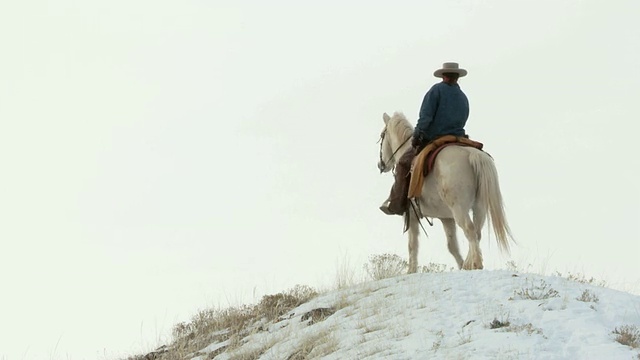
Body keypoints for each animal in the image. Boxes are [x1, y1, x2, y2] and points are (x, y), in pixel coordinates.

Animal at [378, 111, 512, 272]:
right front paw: (462, 265)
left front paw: (411, 271)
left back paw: (476, 264)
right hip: (480, 207)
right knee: (477, 232)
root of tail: (472, 154)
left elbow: (412, 245)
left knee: (470, 229)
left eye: (382, 136)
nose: (380, 165)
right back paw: (470, 264)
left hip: (459, 208)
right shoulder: (446, 218)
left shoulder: (411, 214)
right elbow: (452, 246)